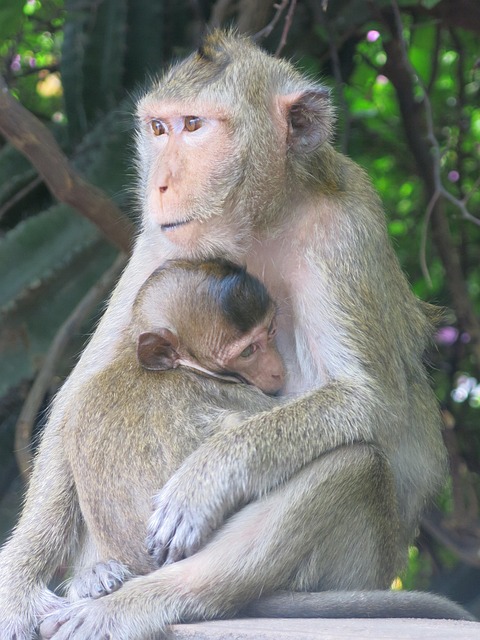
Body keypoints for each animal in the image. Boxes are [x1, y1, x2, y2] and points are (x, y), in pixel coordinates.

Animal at [0, 30, 475, 640]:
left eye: (195, 125)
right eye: (159, 128)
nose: (159, 184)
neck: (260, 220)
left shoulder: (345, 229)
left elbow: (372, 402)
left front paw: (207, 477)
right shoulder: (158, 239)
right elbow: (74, 397)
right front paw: (18, 583)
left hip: (357, 563)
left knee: (352, 463)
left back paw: (149, 599)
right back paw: (96, 577)